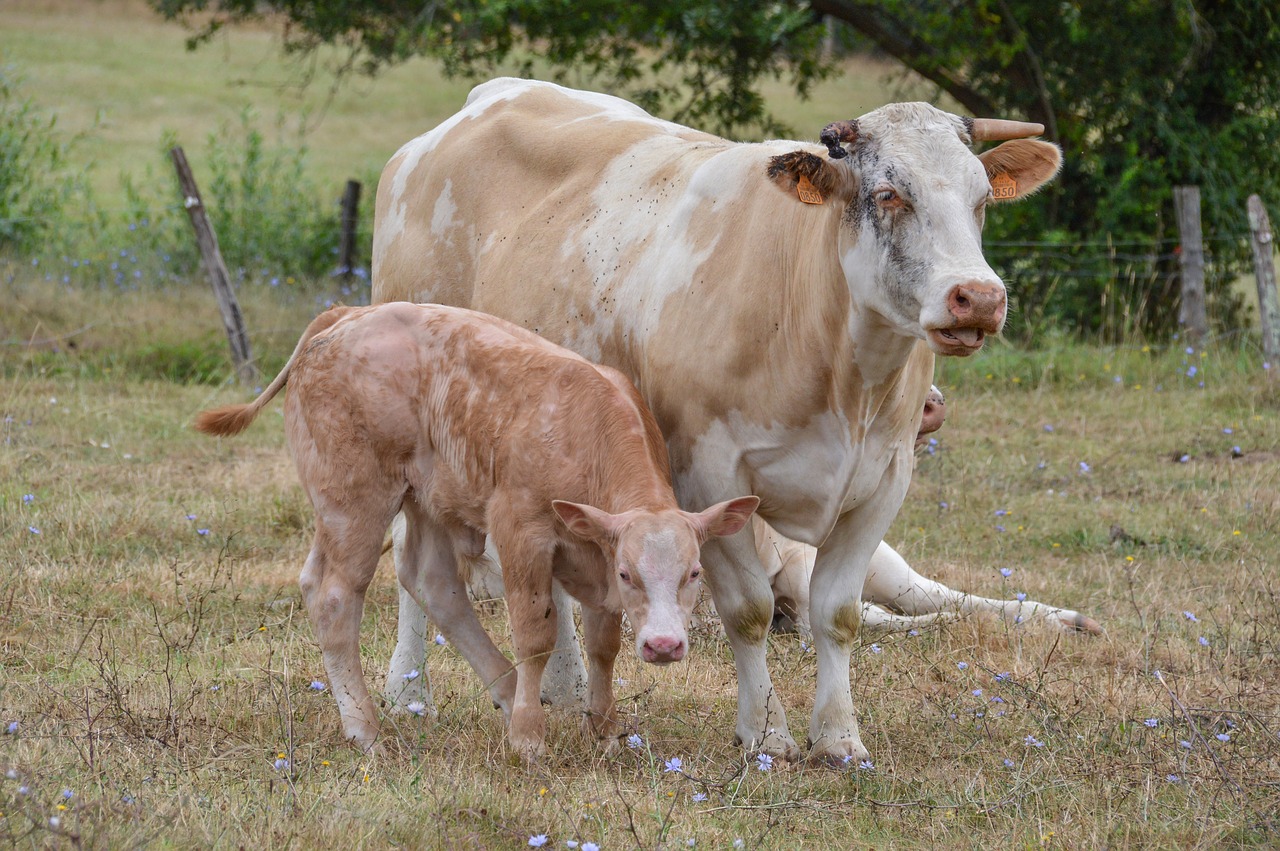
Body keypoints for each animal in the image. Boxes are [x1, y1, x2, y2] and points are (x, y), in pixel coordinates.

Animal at [193, 300, 752, 757]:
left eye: (695, 573)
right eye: (629, 574)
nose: (664, 646)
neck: (585, 433)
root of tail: (346, 315)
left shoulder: (595, 550)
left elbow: (603, 642)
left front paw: (604, 726)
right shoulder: (521, 530)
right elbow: (536, 634)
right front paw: (528, 738)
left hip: (423, 500)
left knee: (428, 585)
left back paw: (503, 694)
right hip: (353, 501)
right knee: (334, 595)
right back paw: (365, 728)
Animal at [373, 76, 1064, 757]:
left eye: (981, 199)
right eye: (889, 194)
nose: (979, 297)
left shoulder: (885, 479)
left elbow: (837, 613)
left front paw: (840, 737)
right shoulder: (710, 475)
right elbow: (749, 611)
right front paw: (765, 731)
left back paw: (562, 688)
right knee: (416, 559)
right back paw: (408, 689)